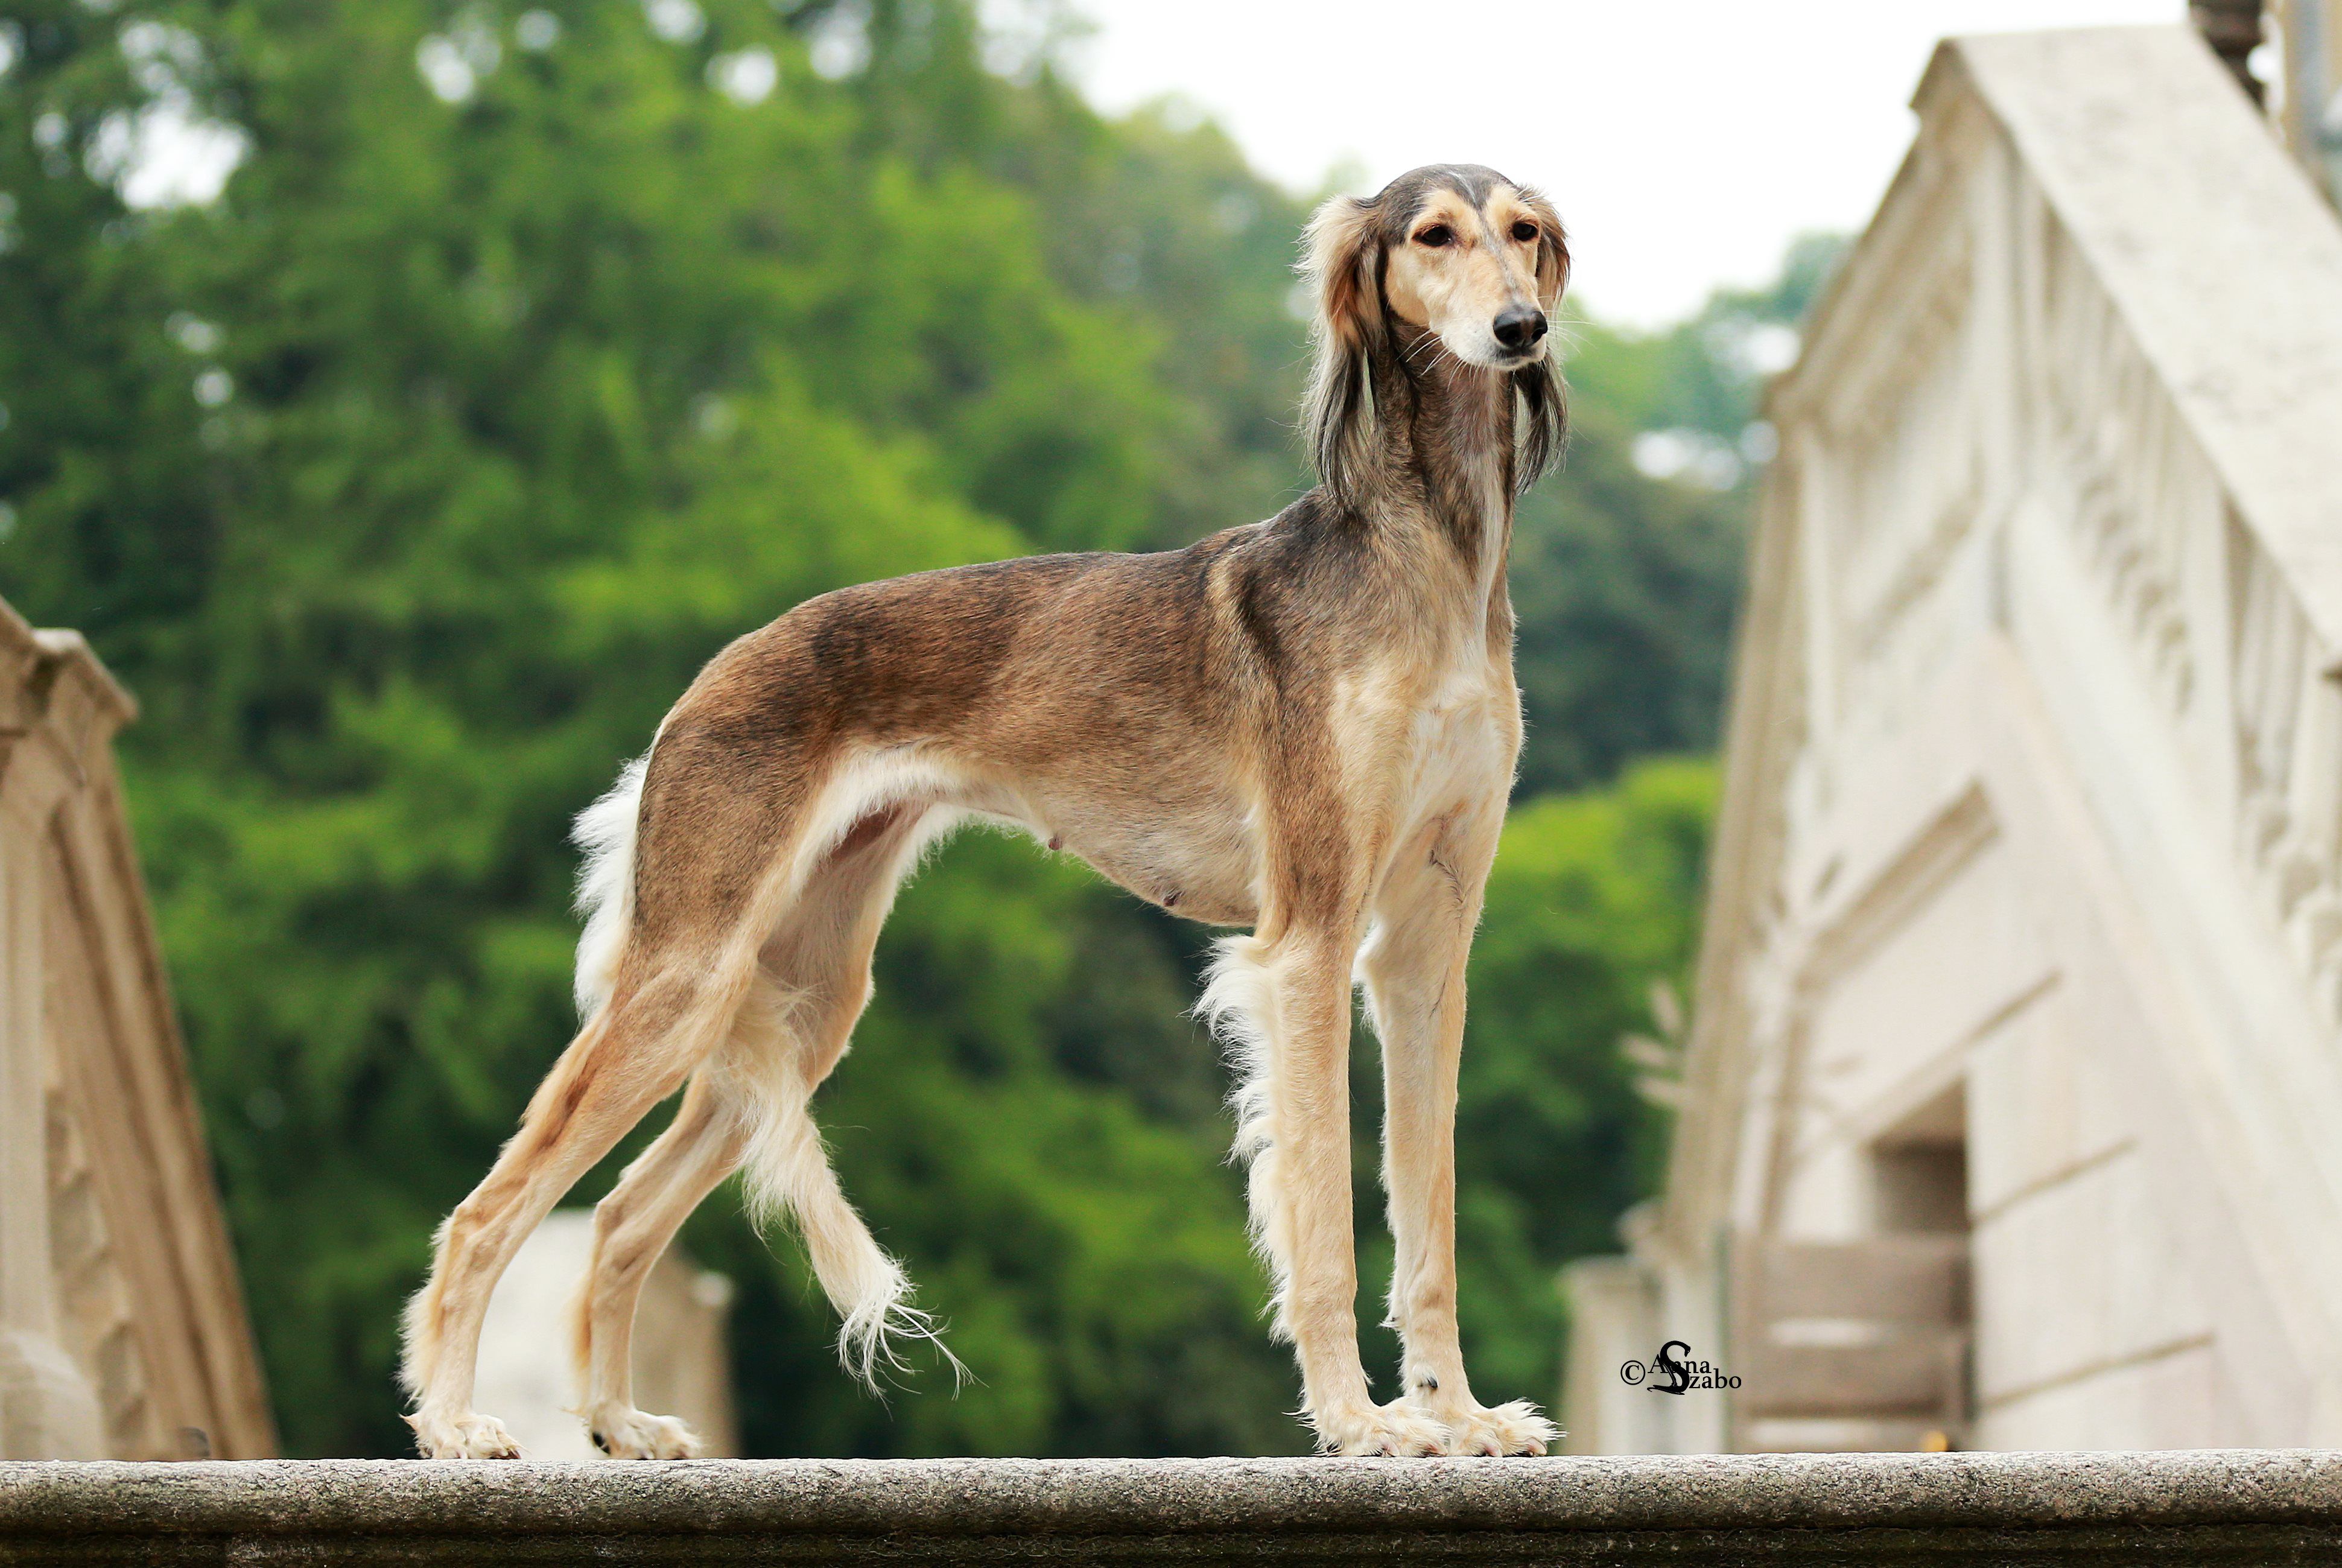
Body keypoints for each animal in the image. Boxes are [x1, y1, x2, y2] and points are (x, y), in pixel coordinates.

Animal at [405, 162, 1573, 1460]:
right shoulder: (1307, 942)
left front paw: (1457, 1413)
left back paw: (617, 1422)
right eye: (1433, 235)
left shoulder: (1424, 950)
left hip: (805, 995)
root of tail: (708, 678)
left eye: (1524, 232)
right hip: (688, 970)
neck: (1428, 562)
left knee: (617, 1216)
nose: (1520, 328)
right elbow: (1321, 1218)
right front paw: (1361, 1422)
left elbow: (1430, 1218)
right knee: (490, 1211)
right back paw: (451, 1423)